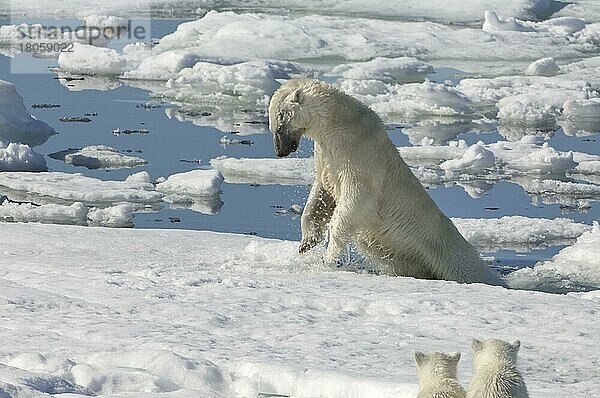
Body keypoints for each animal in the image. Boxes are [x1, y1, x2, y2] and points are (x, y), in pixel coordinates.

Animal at [270, 78, 506, 286]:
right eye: (274, 125)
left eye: (280, 121)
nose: (280, 152)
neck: (338, 121)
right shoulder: (326, 155)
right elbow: (323, 193)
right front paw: (307, 243)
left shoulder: (357, 150)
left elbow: (358, 198)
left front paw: (328, 258)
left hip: (446, 252)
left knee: (468, 269)